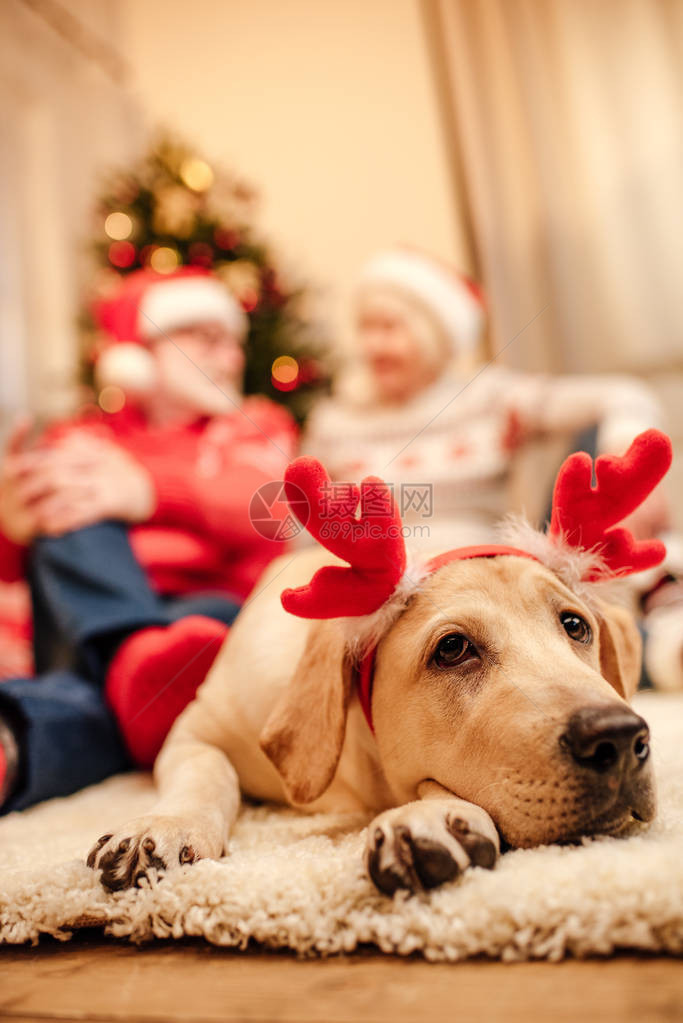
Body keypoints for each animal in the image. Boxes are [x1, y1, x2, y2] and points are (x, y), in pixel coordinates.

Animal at [86, 431, 670, 896]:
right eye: (453, 649)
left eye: (575, 626)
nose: (619, 738)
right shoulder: (200, 728)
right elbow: (206, 773)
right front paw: (165, 824)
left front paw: (432, 817)